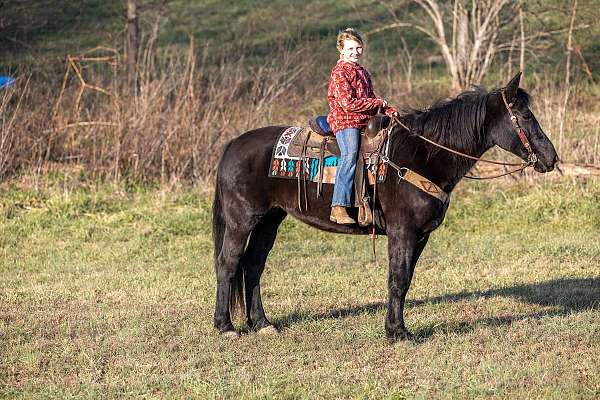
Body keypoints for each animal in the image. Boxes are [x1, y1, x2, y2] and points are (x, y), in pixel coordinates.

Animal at [211, 72, 556, 340]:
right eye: (526, 116)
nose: (551, 158)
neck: (422, 154)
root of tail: (232, 145)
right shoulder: (402, 231)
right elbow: (398, 278)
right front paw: (397, 332)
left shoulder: (420, 235)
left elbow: (405, 280)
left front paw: (396, 327)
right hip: (242, 221)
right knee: (228, 264)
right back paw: (225, 327)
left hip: (270, 220)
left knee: (253, 265)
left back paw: (262, 324)